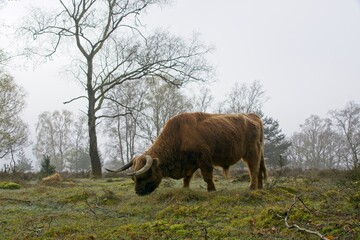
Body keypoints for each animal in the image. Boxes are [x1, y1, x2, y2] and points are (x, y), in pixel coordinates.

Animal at [105, 112, 266, 195]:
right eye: (133, 178)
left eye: (145, 175)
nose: (138, 192)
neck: (178, 136)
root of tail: (252, 116)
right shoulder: (190, 163)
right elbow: (187, 177)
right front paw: (185, 189)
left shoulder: (204, 159)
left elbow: (207, 176)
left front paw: (211, 190)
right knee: (258, 170)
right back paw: (260, 187)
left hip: (252, 152)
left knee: (253, 169)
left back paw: (252, 188)